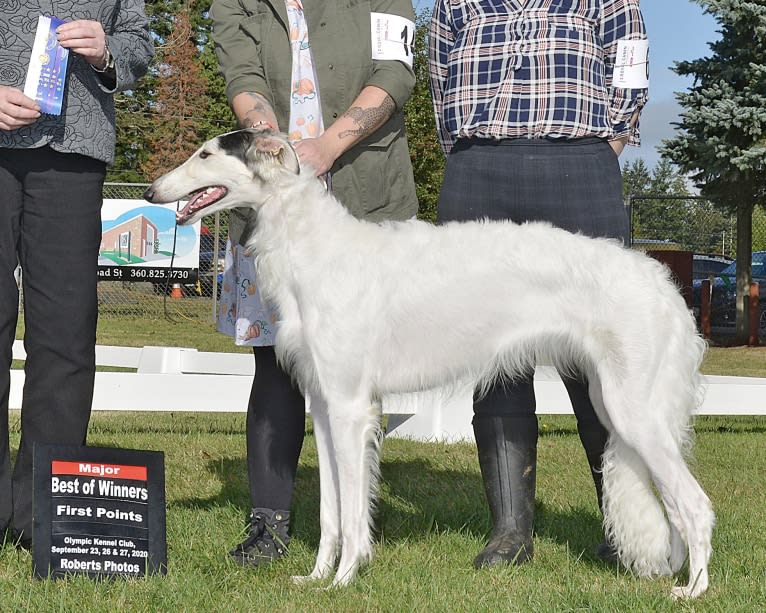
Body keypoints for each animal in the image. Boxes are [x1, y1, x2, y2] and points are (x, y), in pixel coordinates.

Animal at [147, 128, 716, 596]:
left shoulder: (352, 408)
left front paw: (345, 579)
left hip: (632, 410)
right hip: (616, 402)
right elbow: (332, 512)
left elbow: (352, 513)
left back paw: (693, 591)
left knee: (695, 504)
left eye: (205, 154)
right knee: (675, 505)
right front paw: (315, 577)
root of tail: (663, 283)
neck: (314, 248)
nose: (152, 192)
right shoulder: (325, 408)